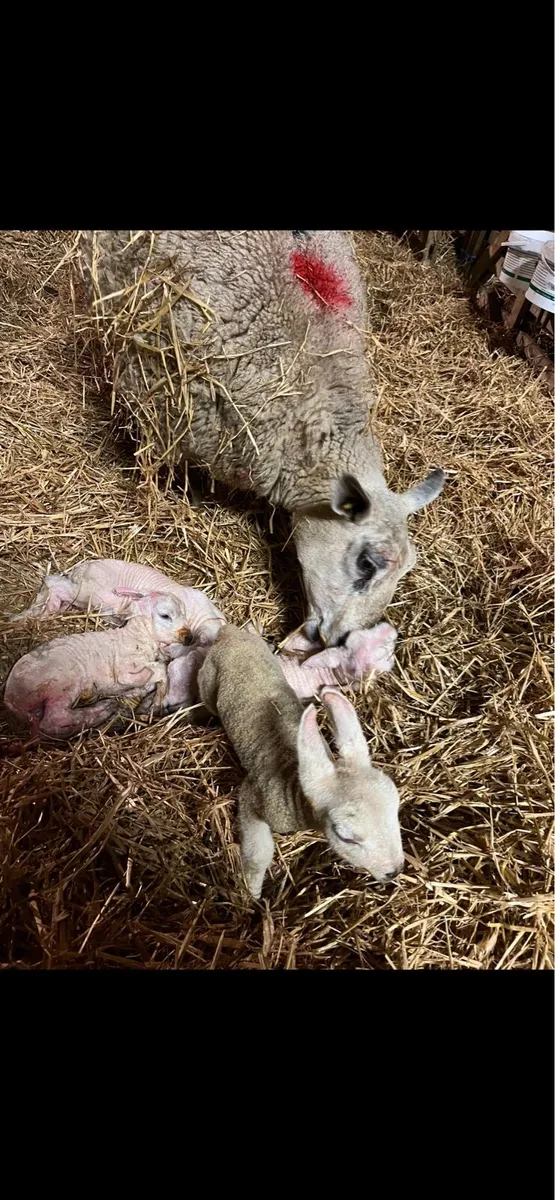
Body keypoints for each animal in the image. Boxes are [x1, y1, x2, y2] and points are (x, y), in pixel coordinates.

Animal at [197, 624, 404, 898]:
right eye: (346, 837)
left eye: (396, 809)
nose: (395, 872)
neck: (292, 778)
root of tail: (229, 633)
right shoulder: (252, 796)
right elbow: (257, 852)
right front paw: (253, 890)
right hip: (208, 679)